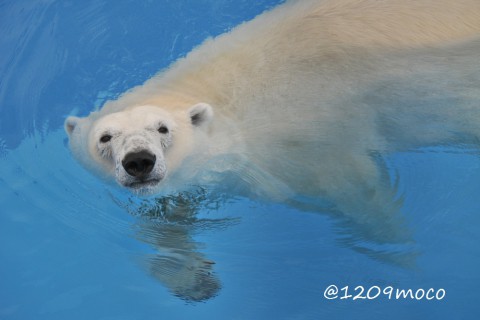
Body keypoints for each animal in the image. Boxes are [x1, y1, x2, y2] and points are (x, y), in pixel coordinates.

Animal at [65, 0, 480, 245]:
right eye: (105, 137)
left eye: (163, 128)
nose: (139, 161)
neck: (232, 99)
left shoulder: (307, 136)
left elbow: (356, 187)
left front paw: (393, 241)